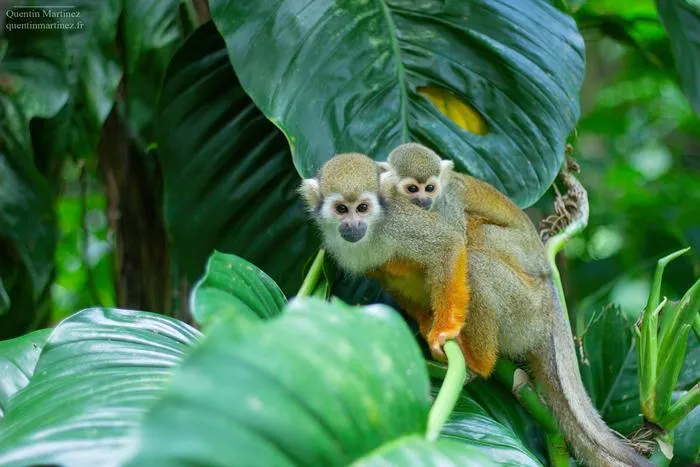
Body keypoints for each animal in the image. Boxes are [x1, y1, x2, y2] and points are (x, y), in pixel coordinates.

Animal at [298, 153, 470, 359]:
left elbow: (447, 244)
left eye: (362, 208)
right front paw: (426, 319)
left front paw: (445, 328)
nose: (353, 225)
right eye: (341, 209)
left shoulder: (397, 221)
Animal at [382, 143, 651, 467]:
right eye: (412, 188)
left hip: (520, 273)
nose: (423, 200)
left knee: (476, 247)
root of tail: (545, 270)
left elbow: (453, 242)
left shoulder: (445, 204)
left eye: (429, 188)